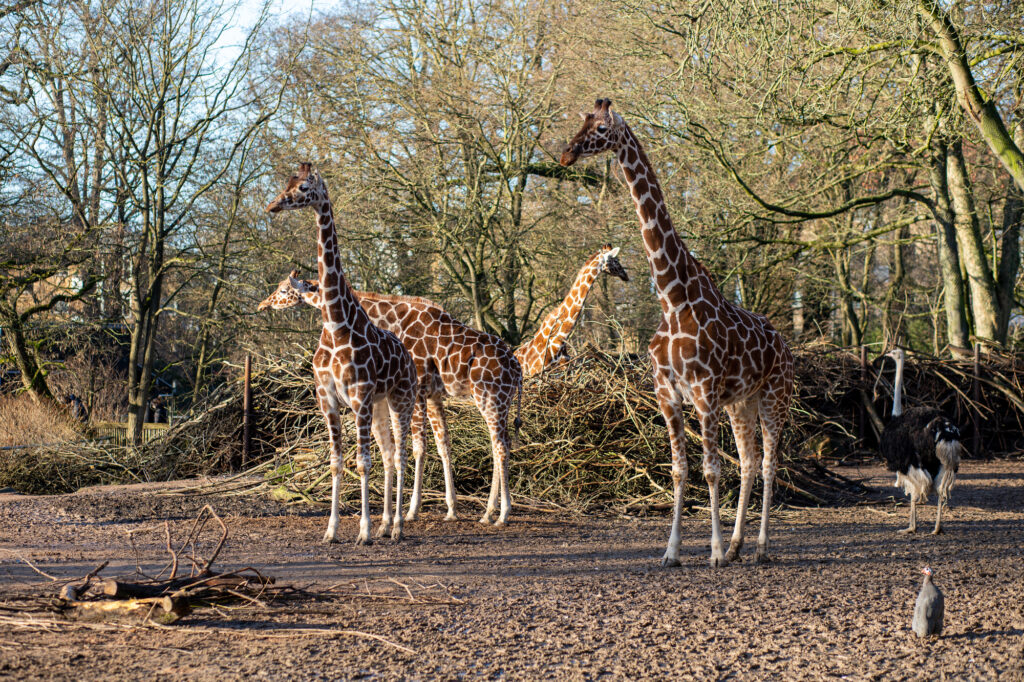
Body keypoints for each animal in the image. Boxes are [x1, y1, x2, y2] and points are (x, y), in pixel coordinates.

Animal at [260, 274, 524, 522]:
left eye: (283, 289)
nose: (264, 304)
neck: (392, 319)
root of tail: (518, 369)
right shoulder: (433, 395)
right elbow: (443, 445)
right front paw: (451, 509)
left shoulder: (418, 390)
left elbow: (418, 447)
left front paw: (411, 510)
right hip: (500, 402)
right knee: (499, 443)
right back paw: (489, 513)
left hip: (490, 398)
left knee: (500, 445)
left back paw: (502, 513)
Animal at [270, 163, 421, 540]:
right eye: (287, 182)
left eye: (304, 187)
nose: (273, 206)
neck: (336, 325)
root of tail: (409, 359)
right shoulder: (328, 399)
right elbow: (337, 462)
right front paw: (332, 530)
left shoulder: (359, 396)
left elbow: (362, 462)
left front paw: (363, 531)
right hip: (379, 406)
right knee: (389, 453)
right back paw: (385, 524)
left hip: (401, 400)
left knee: (402, 455)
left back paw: (397, 527)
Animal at [561, 100, 790, 565]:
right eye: (580, 122)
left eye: (600, 129)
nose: (566, 154)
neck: (672, 298)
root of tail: (785, 343)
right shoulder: (667, 395)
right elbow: (680, 470)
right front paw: (673, 552)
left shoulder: (703, 394)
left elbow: (711, 470)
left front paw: (713, 552)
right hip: (742, 403)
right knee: (749, 461)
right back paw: (739, 545)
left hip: (774, 396)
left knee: (769, 461)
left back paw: (758, 548)